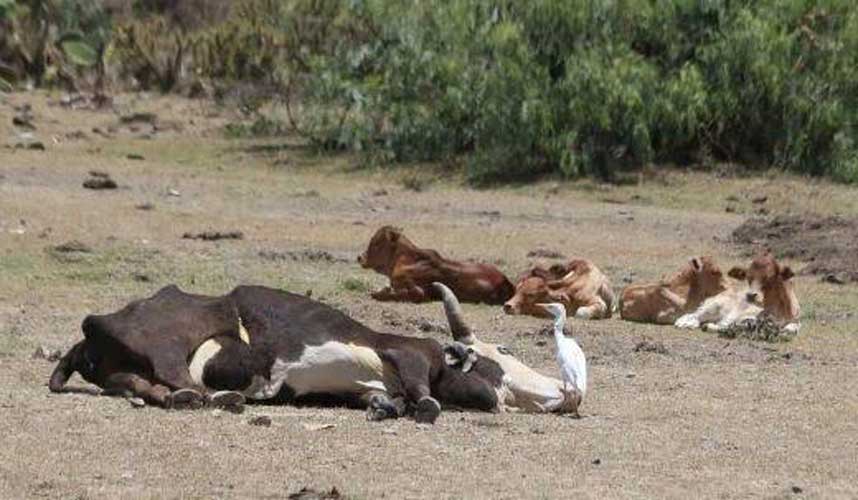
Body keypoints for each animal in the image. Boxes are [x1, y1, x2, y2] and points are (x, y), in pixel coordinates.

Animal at [676, 252, 804, 334]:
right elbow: (731, 324)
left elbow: (790, 329)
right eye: (748, 277)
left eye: (771, 277)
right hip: (712, 307)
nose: (750, 295)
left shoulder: (796, 321)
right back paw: (683, 323)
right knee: (692, 315)